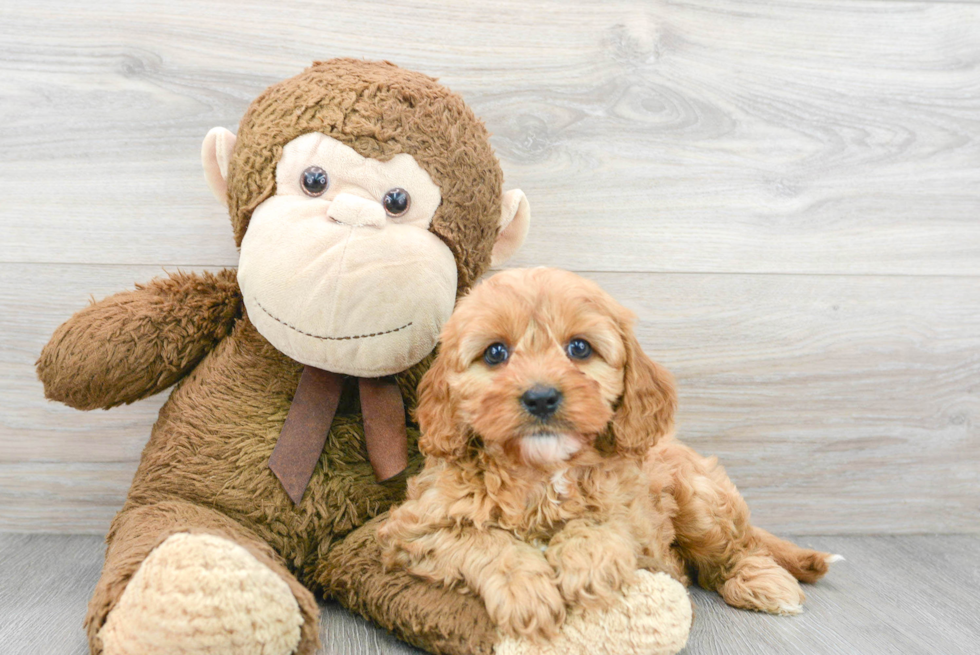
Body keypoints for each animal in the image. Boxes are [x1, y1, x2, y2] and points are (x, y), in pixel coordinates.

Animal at [378, 268, 840, 640]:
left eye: (580, 349)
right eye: (495, 353)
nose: (541, 397)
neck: (543, 471)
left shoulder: (642, 521)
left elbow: (603, 523)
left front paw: (586, 562)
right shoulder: (414, 527)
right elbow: (482, 540)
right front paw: (526, 590)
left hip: (701, 500)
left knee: (738, 550)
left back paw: (765, 584)